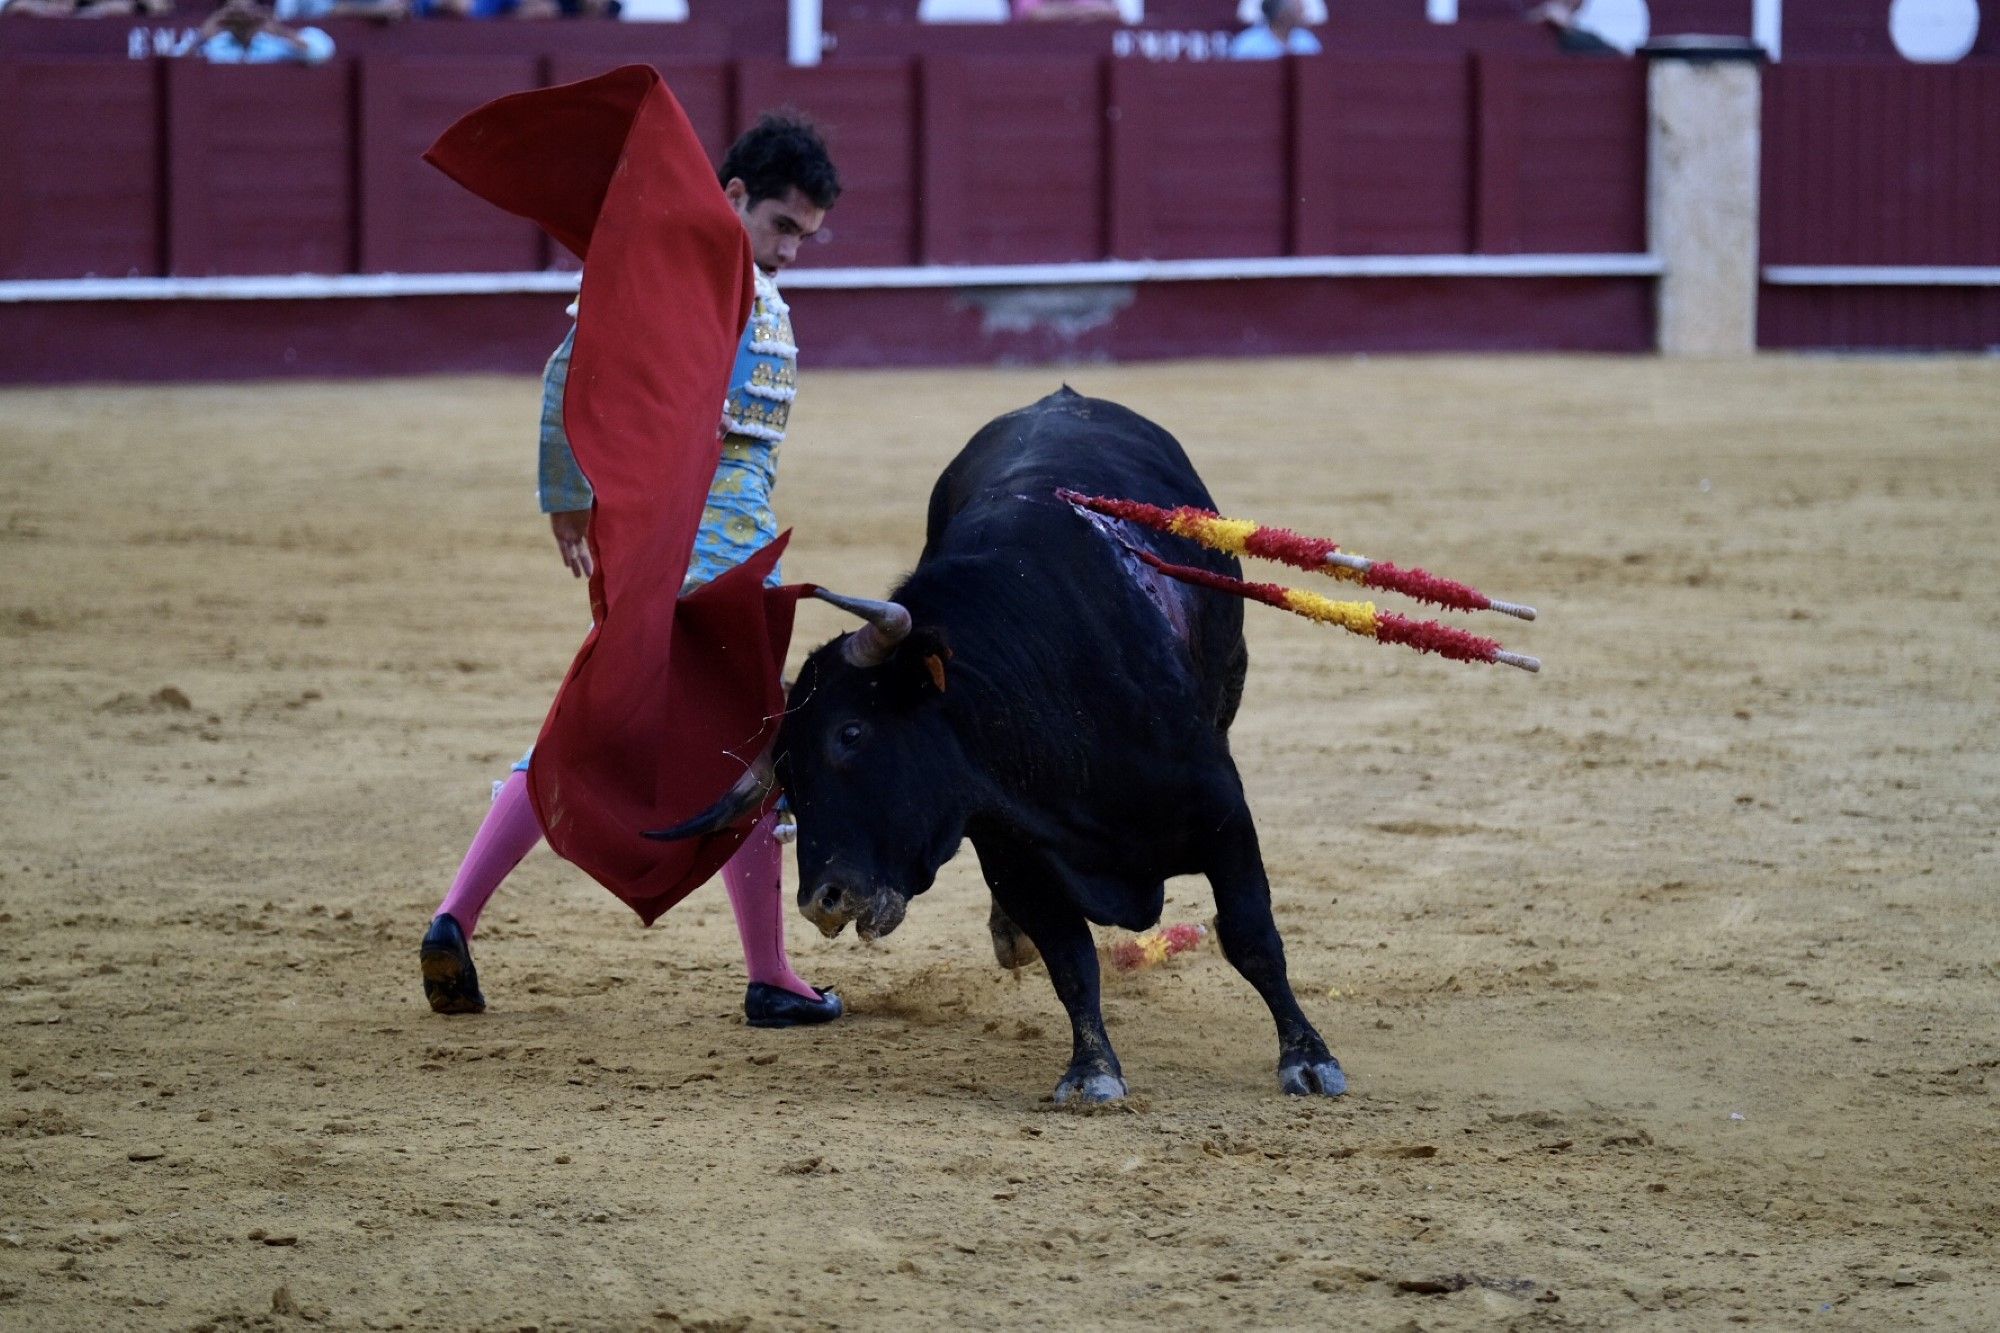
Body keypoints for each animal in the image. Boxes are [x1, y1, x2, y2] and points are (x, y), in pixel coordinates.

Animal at [660, 386, 1344, 1096]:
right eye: (786, 774)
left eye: (851, 732)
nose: (823, 901)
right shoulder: (1011, 851)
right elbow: (1070, 958)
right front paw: (1091, 1071)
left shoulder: (1223, 813)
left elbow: (1251, 936)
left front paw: (1308, 1058)